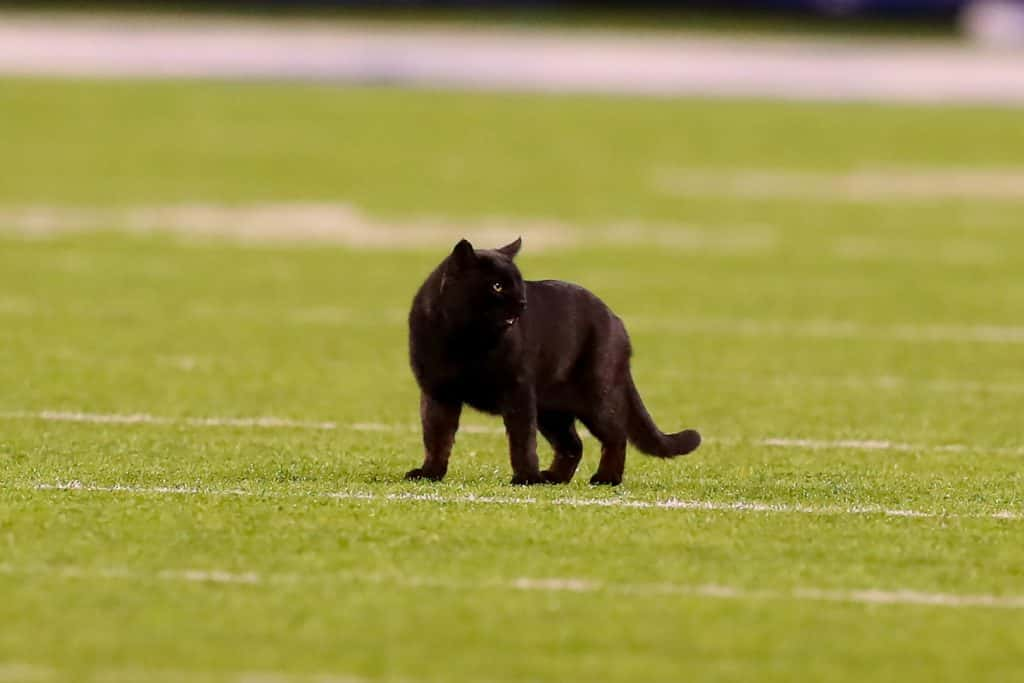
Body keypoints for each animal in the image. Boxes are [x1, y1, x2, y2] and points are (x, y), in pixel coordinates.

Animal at [403, 240, 700, 485]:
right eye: (497, 286)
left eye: (519, 283)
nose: (522, 302)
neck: (464, 340)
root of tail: (615, 320)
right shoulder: (438, 394)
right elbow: (436, 438)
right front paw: (429, 474)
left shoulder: (518, 391)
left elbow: (522, 440)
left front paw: (525, 478)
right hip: (552, 410)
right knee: (573, 444)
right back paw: (554, 478)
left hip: (596, 396)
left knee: (615, 435)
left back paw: (606, 479)